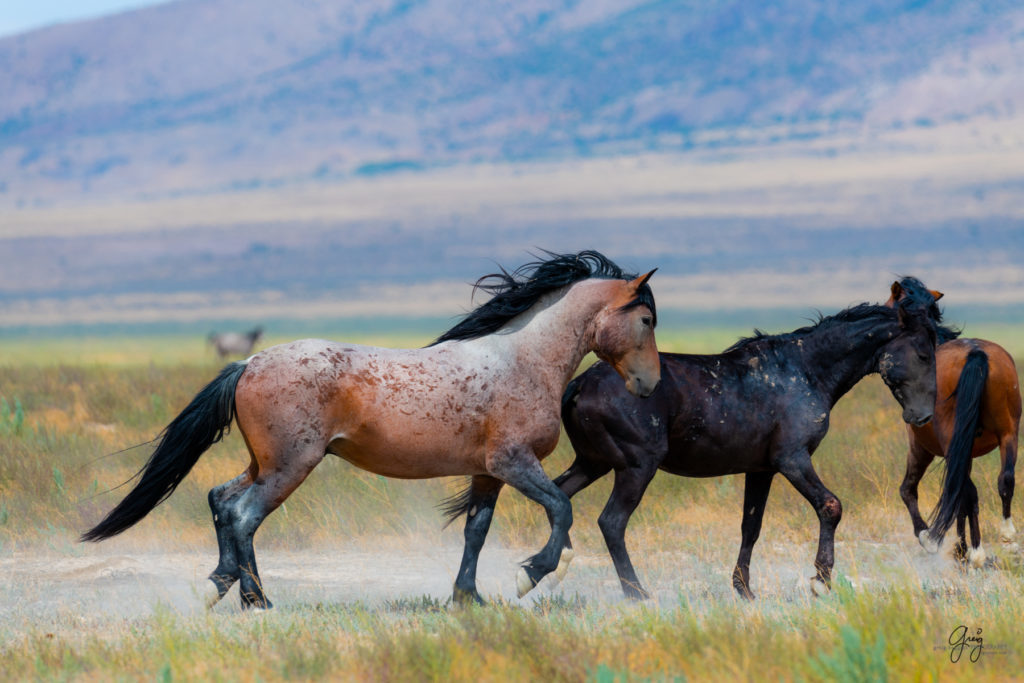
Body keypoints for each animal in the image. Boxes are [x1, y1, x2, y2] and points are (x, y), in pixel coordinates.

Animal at [77, 250, 655, 610]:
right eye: (647, 320)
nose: (650, 383)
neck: (521, 360)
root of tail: (249, 361)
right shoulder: (513, 463)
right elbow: (560, 508)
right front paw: (531, 574)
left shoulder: (487, 473)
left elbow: (476, 531)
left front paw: (467, 598)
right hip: (290, 466)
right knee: (242, 516)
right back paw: (258, 601)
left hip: (263, 463)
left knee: (221, 499)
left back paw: (220, 586)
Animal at [552, 299, 937, 598]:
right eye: (922, 354)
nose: (923, 415)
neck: (806, 371)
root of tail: (580, 383)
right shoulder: (792, 460)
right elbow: (830, 506)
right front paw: (821, 579)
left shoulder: (761, 470)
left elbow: (751, 526)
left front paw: (744, 589)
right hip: (635, 467)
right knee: (612, 522)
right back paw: (636, 593)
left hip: (592, 463)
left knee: (559, 498)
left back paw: (544, 572)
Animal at [884, 276, 1019, 565]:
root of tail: (976, 353)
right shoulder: (965, 451)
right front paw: (960, 546)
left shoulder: (921, 448)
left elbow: (909, 490)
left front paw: (931, 538)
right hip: (1008, 433)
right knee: (1005, 480)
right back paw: (1009, 540)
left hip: (946, 444)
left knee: (967, 494)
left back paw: (976, 551)